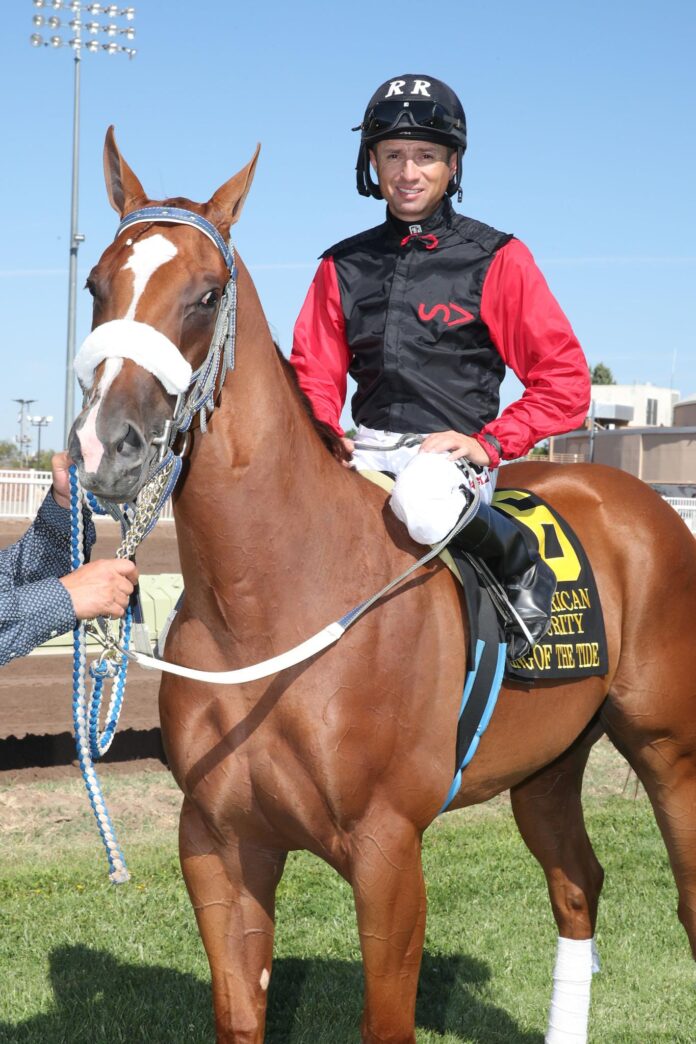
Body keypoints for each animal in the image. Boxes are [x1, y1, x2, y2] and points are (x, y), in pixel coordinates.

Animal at [68, 128, 696, 1043]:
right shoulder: (218, 843)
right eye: (95, 285)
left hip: (668, 748)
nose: (103, 445)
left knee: (685, 898)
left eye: (206, 295)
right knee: (577, 884)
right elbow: (240, 1012)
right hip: (549, 765)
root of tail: (638, 499)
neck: (268, 602)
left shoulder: (388, 853)